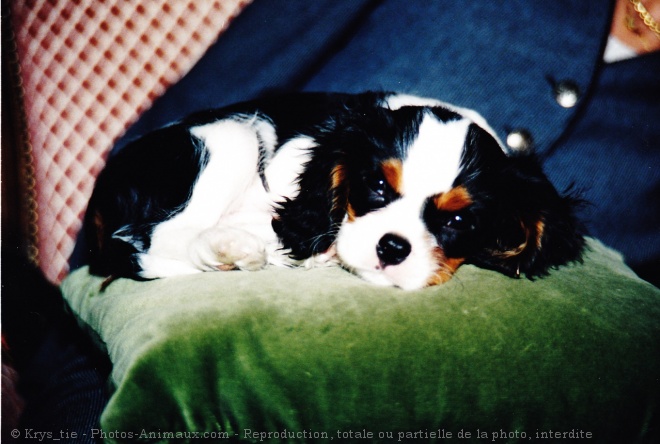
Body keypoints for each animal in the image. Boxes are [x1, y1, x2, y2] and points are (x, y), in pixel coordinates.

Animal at [84, 92, 584, 290]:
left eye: (458, 220)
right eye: (377, 186)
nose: (392, 247)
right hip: (228, 138)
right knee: (160, 238)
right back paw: (234, 248)